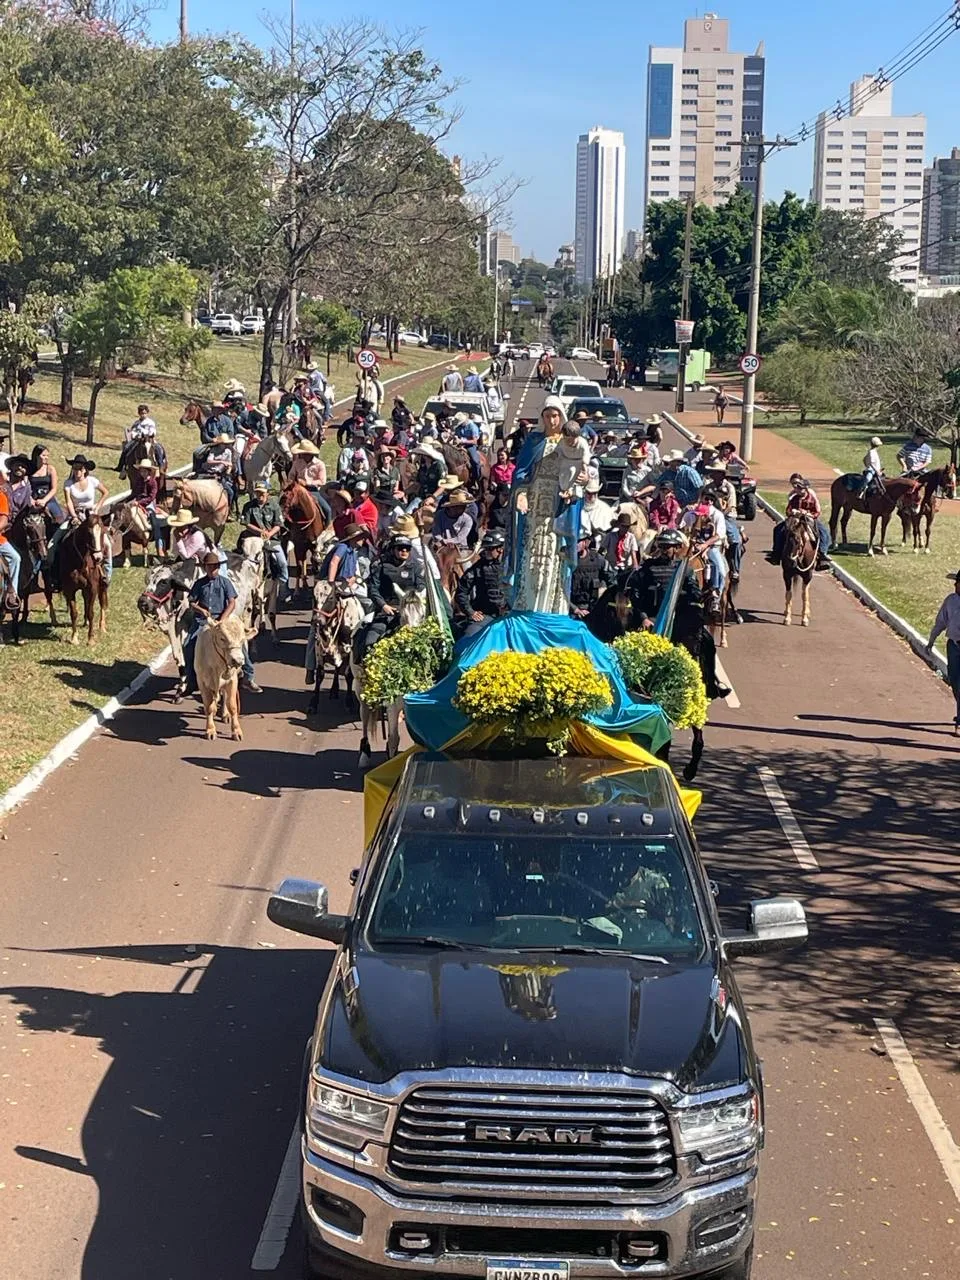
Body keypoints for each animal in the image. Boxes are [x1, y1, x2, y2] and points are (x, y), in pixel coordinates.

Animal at [59, 514, 108, 645]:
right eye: (89, 533)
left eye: (103, 532)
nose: (98, 558)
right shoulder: (69, 590)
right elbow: (74, 613)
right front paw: (74, 638)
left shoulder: (93, 588)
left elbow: (91, 613)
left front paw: (90, 639)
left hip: (101, 587)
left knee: (102, 603)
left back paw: (102, 627)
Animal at [350, 591, 427, 768]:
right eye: (403, 617)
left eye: (422, 615)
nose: (414, 644)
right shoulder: (393, 706)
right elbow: (393, 740)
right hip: (360, 688)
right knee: (365, 715)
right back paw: (364, 754)